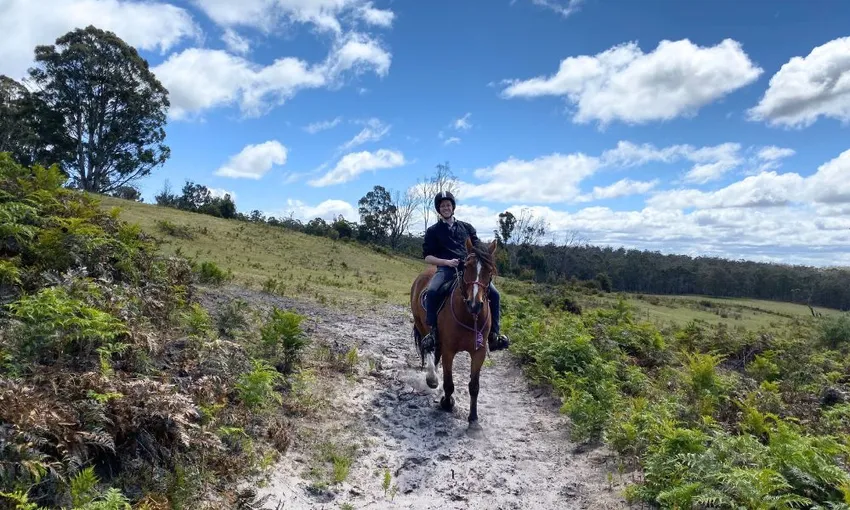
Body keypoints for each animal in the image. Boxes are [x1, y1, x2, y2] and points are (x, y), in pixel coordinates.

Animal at [410, 237, 498, 430]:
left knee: (435, 354)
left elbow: (474, 386)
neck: (469, 316)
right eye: (467, 266)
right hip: (422, 326)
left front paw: (473, 420)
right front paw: (447, 403)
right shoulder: (449, 350)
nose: (475, 304)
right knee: (429, 349)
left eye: (489, 270)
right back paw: (432, 378)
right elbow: (449, 383)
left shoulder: (479, 352)